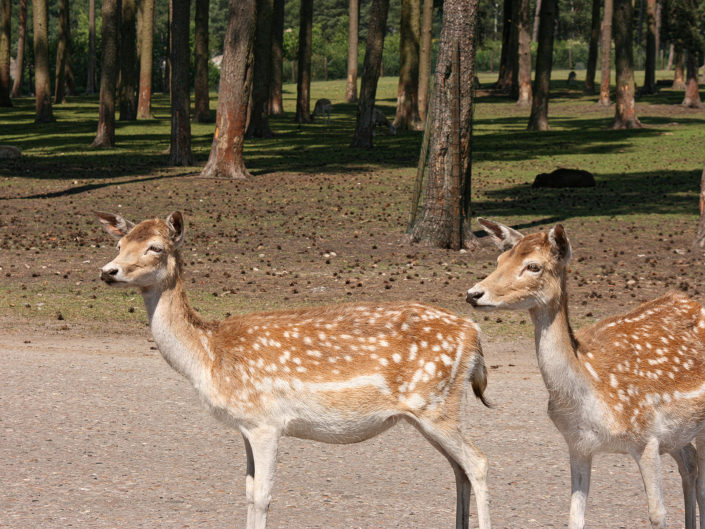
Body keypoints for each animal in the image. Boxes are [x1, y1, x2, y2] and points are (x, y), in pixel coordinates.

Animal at [95, 211, 492, 529]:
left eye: (155, 248)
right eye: (120, 242)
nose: (108, 271)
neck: (209, 355)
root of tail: (474, 334)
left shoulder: (266, 421)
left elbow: (262, 495)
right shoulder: (245, 424)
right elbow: (247, 490)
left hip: (435, 404)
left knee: (477, 462)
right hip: (430, 412)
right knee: (458, 469)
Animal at [466, 218, 705, 529]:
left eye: (533, 266)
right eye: (499, 260)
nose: (473, 294)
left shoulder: (647, 437)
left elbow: (657, 515)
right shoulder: (577, 444)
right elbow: (574, 516)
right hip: (679, 434)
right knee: (690, 462)